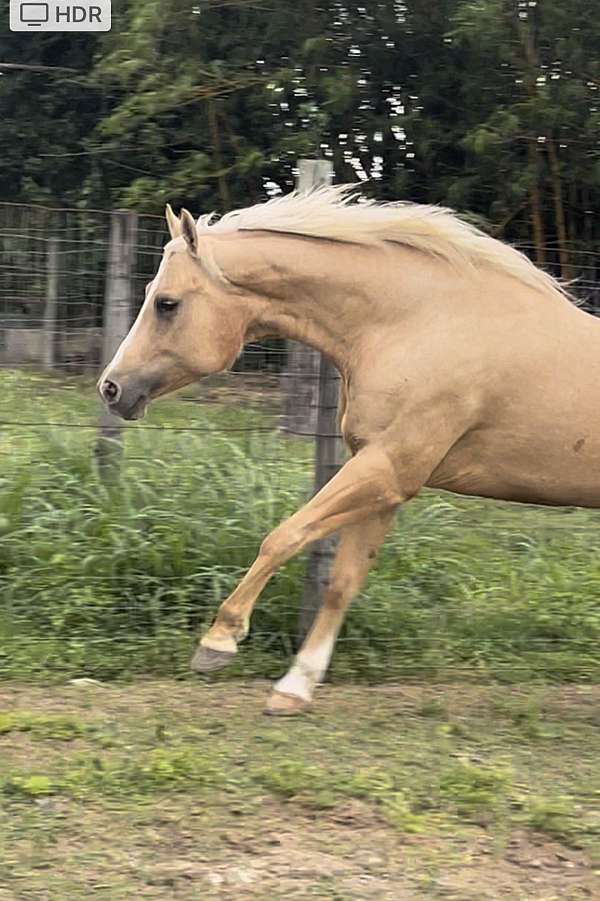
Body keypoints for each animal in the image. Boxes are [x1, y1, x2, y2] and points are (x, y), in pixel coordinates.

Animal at [98, 186, 600, 716]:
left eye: (166, 304)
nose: (111, 388)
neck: (419, 322)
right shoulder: (382, 482)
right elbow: (342, 582)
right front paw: (294, 688)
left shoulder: (387, 469)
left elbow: (283, 536)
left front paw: (219, 641)